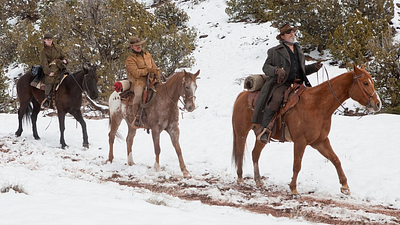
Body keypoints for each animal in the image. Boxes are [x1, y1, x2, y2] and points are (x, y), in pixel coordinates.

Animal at [231, 64, 382, 196]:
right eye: (365, 83)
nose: (377, 104)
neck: (317, 104)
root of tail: (241, 95)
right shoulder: (300, 141)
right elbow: (297, 165)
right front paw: (293, 189)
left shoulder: (320, 141)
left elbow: (335, 159)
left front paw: (345, 186)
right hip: (241, 132)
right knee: (240, 152)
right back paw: (240, 178)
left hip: (261, 137)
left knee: (255, 154)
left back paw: (258, 181)